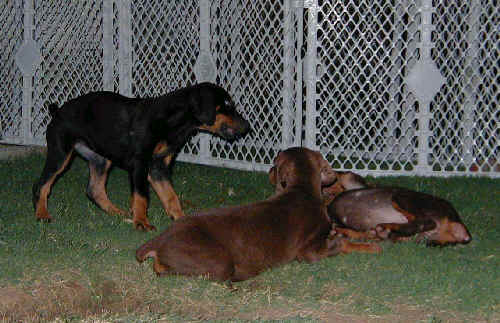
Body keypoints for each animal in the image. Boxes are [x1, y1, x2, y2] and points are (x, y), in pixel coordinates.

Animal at [32, 83, 250, 230]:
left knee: (94, 189)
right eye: (226, 106)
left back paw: (117, 212)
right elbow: (141, 196)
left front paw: (181, 219)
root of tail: (57, 111)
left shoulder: (158, 167)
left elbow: (171, 196)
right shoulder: (140, 164)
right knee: (42, 184)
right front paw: (142, 222)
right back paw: (42, 214)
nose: (247, 127)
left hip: (100, 159)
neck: (172, 121)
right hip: (61, 153)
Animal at [135, 147, 376, 284]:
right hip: (218, 262)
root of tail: (159, 239)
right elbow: (333, 245)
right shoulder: (308, 251)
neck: (301, 189)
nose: (269, 169)